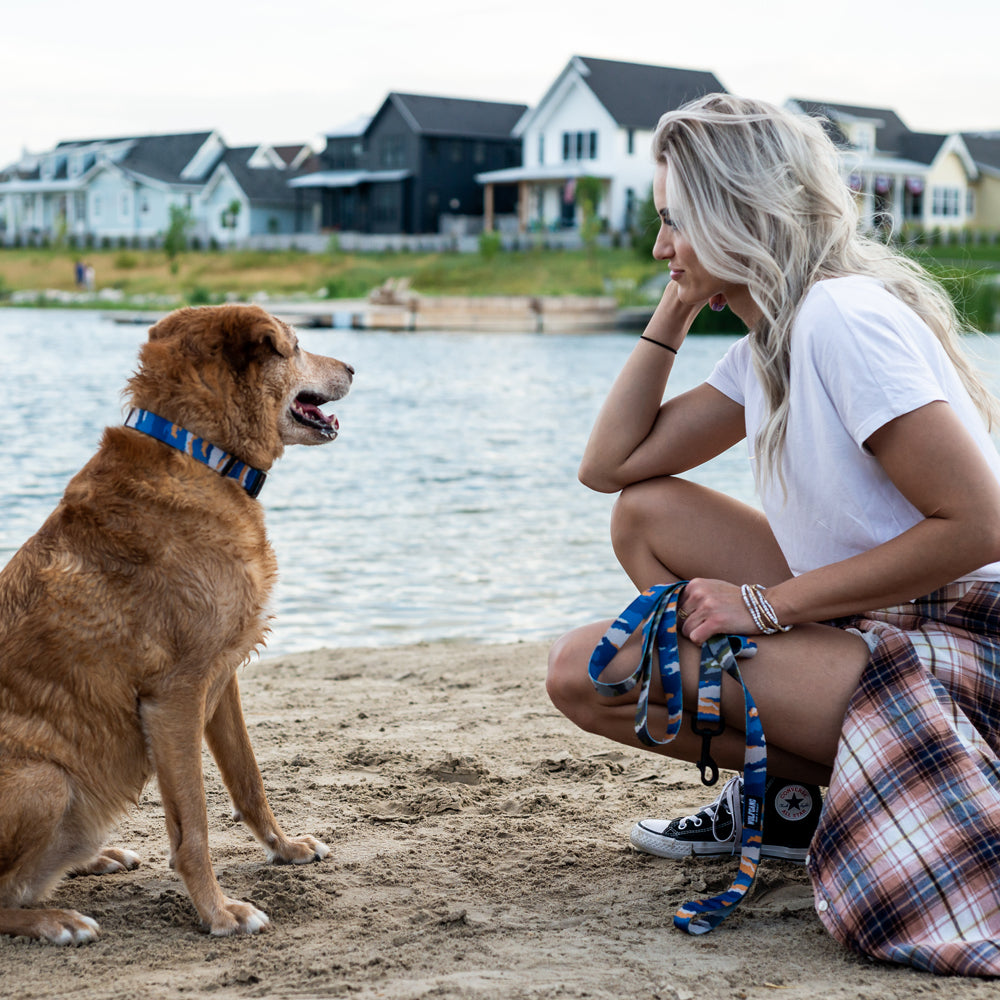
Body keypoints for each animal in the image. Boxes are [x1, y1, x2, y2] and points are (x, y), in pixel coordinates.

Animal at [0, 304, 356, 944]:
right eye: (294, 346)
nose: (354, 367)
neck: (199, 454)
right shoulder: (175, 698)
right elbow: (194, 824)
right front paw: (218, 913)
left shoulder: (223, 678)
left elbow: (248, 780)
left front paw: (284, 848)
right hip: (46, 780)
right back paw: (54, 920)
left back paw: (95, 858)